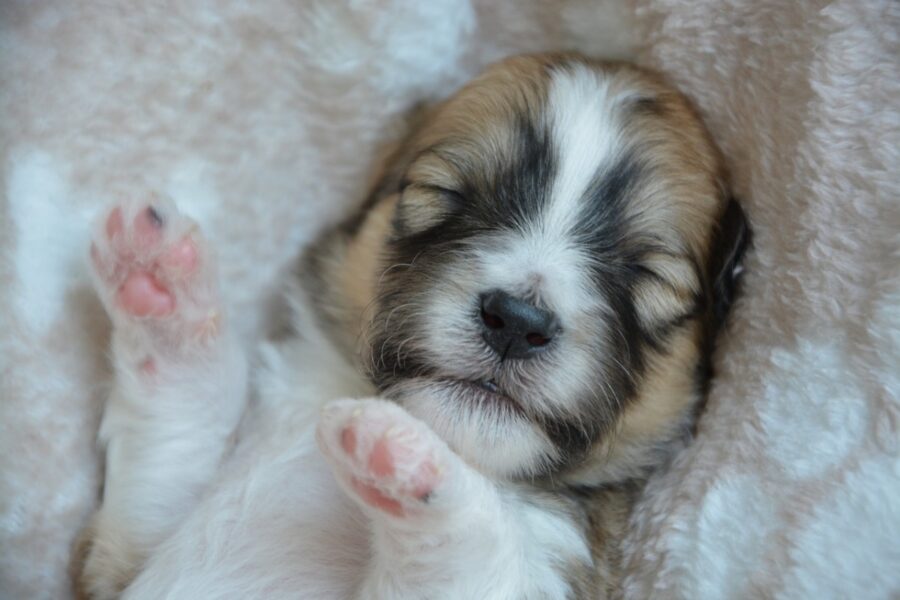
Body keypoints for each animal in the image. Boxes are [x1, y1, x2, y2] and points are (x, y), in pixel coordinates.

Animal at [75, 54, 744, 596]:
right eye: (440, 194)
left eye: (648, 277)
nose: (516, 321)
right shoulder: (120, 559)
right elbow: (175, 436)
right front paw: (159, 285)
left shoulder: (550, 562)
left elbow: (468, 554)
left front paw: (400, 454)